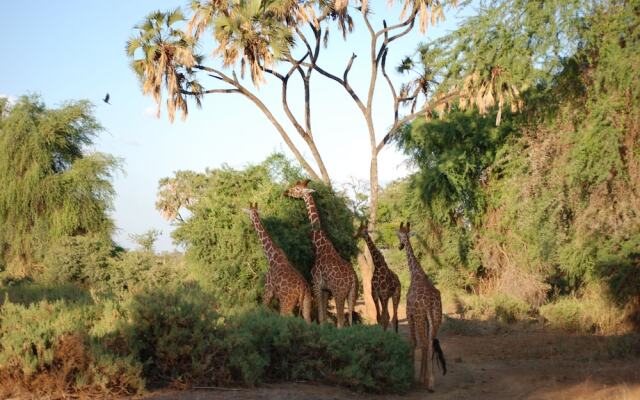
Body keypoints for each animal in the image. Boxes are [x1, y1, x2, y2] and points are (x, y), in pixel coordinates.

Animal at [286, 180, 360, 328]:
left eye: (297, 189)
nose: (286, 192)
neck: (319, 246)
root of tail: (352, 279)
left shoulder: (316, 285)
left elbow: (320, 317)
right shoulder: (325, 289)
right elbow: (324, 318)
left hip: (339, 293)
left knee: (341, 321)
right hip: (352, 294)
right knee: (350, 320)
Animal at [396, 222, 444, 390]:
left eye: (399, 235)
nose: (400, 246)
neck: (416, 273)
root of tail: (430, 302)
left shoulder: (409, 312)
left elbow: (413, 342)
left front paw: (412, 374)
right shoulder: (425, 317)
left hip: (418, 316)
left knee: (423, 342)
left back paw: (423, 380)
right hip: (436, 317)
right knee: (430, 343)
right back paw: (430, 381)